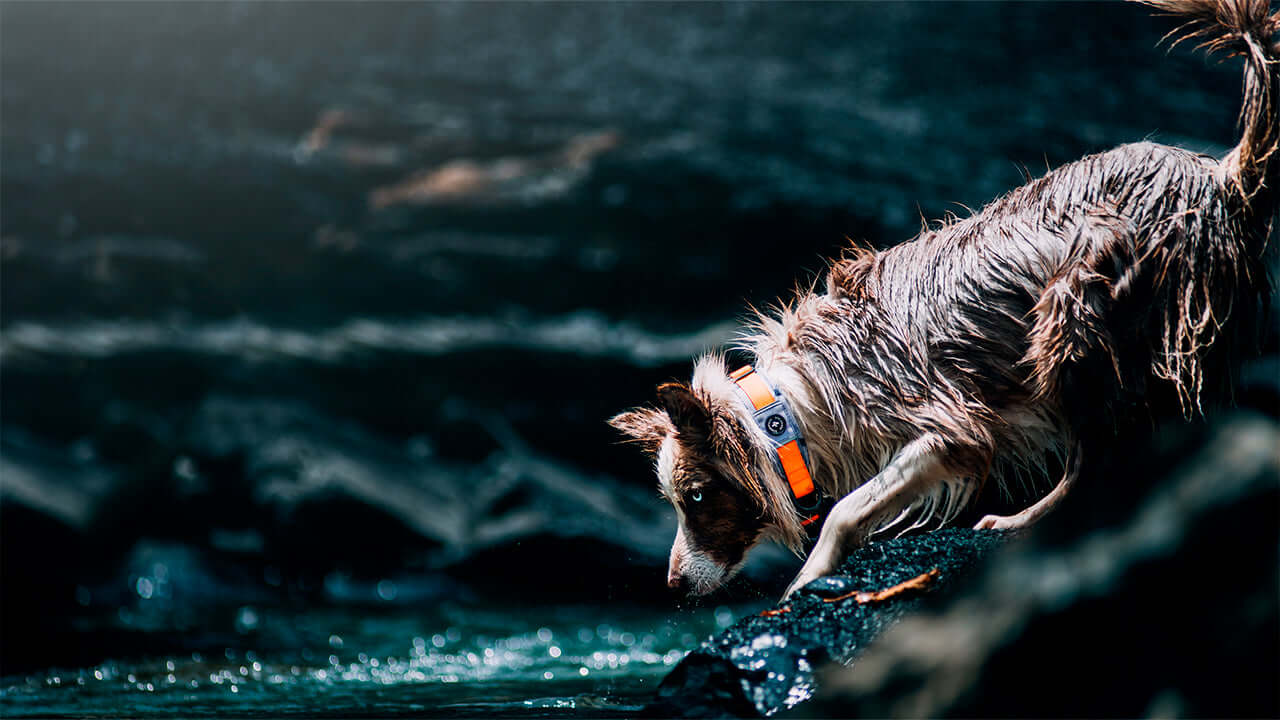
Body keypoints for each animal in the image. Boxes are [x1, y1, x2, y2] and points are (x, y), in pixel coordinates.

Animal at [609, 0, 1280, 597]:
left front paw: (807, 577)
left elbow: (846, 509)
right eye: (677, 501)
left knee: (1100, 453)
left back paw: (1027, 517)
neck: (785, 412)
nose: (671, 586)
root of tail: (1222, 174)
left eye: (697, 497)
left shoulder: (950, 429)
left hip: (1071, 316)